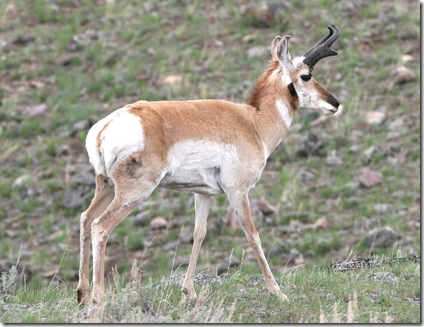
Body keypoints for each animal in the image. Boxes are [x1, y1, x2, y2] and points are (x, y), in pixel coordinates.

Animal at [77, 23, 342, 304]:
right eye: (306, 75)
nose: (334, 103)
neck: (253, 123)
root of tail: (106, 127)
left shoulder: (202, 193)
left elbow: (199, 233)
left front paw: (189, 291)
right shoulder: (237, 190)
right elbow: (253, 235)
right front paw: (278, 292)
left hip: (106, 186)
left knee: (85, 219)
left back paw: (82, 293)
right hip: (134, 192)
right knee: (100, 226)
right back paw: (98, 298)